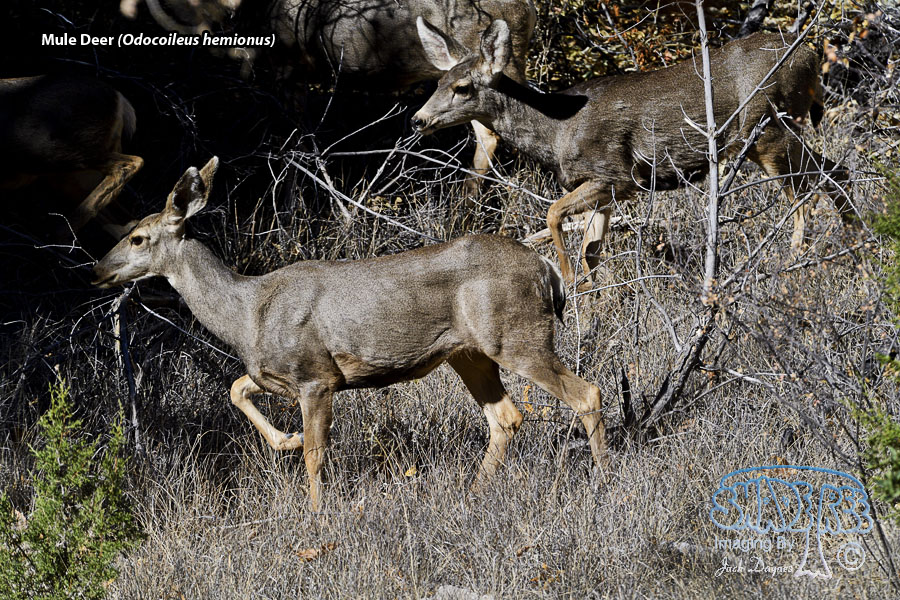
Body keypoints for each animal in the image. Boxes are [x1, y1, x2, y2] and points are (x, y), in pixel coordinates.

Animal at [0, 75, 144, 233]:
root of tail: (119, 98)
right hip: (70, 175)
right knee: (127, 219)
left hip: (49, 152)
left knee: (131, 163)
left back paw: (60, 230)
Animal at [91, 156, 609, 511]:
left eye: (138, 238)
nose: (98, 270)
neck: (247, 312)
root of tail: (548, 272)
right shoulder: (275, 373)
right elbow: (236, 388)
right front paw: (286, 440)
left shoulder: (316, 376)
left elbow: (316, 455)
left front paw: (317, 514)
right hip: (469, 353)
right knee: (506, 416)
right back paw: (473, 491)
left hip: (517, 335)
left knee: (586, 393)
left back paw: (606, 478)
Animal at [412, 20, 852, 286]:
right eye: (439, 82)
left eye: (463, 87)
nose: (418, 120)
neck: (556, 130)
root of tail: (811, 54)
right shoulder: (606, 193)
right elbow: (591, 251)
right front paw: (590, 310)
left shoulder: (615, 174)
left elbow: (554, 214)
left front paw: (568, 280)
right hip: (781, 135)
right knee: (837, 173)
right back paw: (858, 246)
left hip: (767, 131)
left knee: (805, 198)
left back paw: (794, 265)